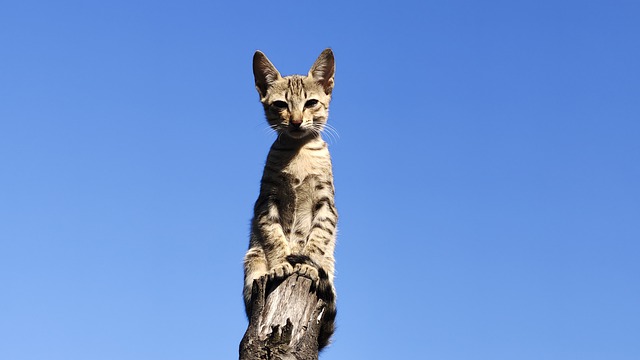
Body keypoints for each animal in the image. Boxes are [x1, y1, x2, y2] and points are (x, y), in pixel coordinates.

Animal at [242, 49, 338, 350]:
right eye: (280, 104)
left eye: (311, 103)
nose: (295, 121)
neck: (298, 151)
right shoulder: (266, 200)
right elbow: (274, 236)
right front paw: (282, 264)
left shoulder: (327, 203)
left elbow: (318, 236)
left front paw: (305, 264)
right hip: (252, 257)